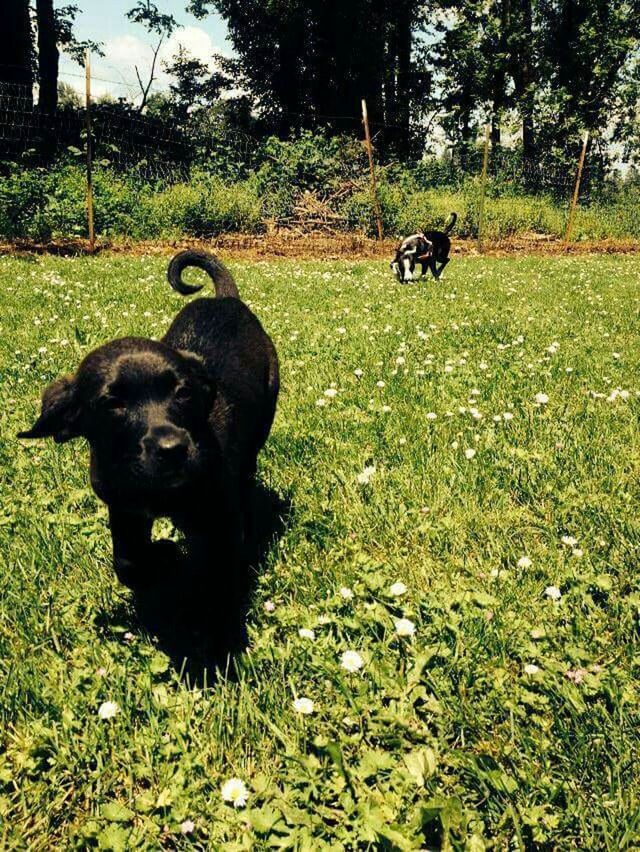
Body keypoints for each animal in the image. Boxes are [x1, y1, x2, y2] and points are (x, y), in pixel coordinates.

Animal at [18, 250, 278, 588]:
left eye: (184, 393)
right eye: (112, 404)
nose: (173, 449)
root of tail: (226, 299)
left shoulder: (222, 519)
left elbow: (218, 576)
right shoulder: (124, 510)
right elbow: (127, 562)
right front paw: (163, 557)